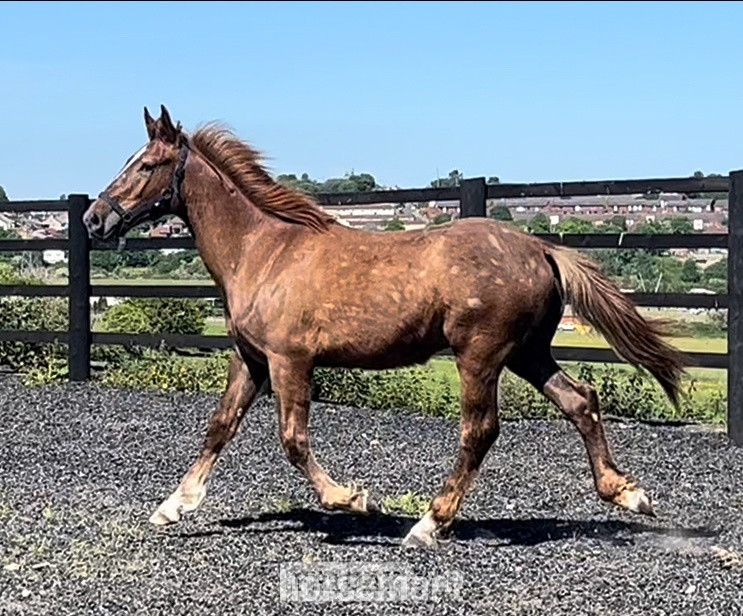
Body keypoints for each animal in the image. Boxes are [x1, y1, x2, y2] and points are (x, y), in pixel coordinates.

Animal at [83, 105, 686, 547]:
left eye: (145, 165)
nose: (94, 217)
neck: (263, 251)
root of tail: (541, 248)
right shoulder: (250, 359)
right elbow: (219, 426)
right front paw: (172, 506)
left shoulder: (289, 360)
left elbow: (293, 441)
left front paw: (354, 499)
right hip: (527, 352)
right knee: (580, 400)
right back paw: (628, 493)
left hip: (481, 355)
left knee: (480, 431)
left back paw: (429, 523)